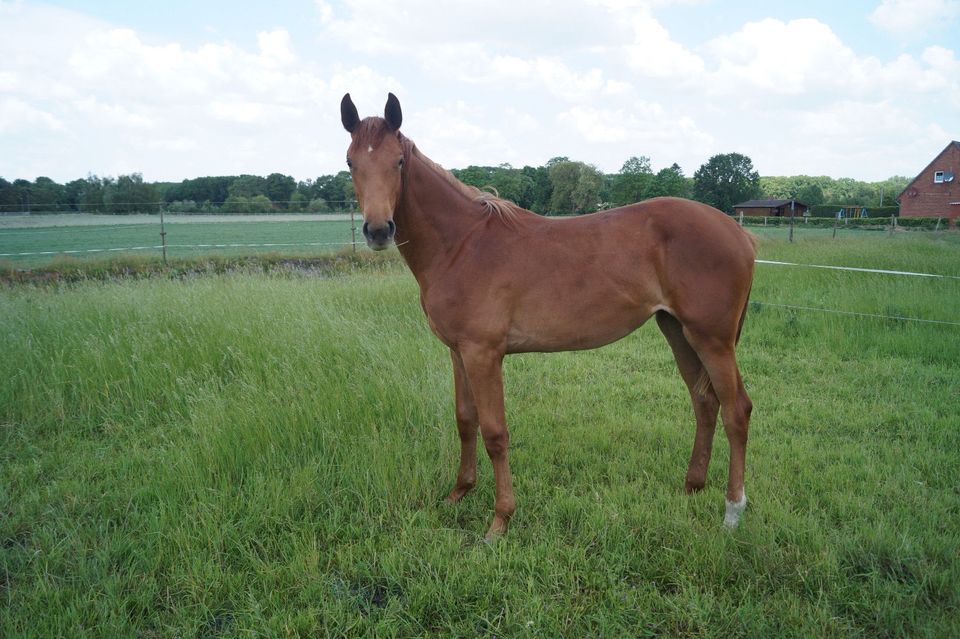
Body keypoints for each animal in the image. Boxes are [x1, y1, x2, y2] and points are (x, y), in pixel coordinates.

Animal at [342, 92, 752, 536]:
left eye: (398, 161)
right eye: (350, 162)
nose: (378, 230)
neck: (462, 245)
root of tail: (738, 231)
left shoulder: (484, 354)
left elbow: (495, 433)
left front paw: (499, 521)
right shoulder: (458, 352)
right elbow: (465, 421)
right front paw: (458, 494)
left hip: (712, 339)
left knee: (736, 411)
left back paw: (732, 511)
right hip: (677, 330)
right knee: (704, 403)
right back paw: (692, 488)